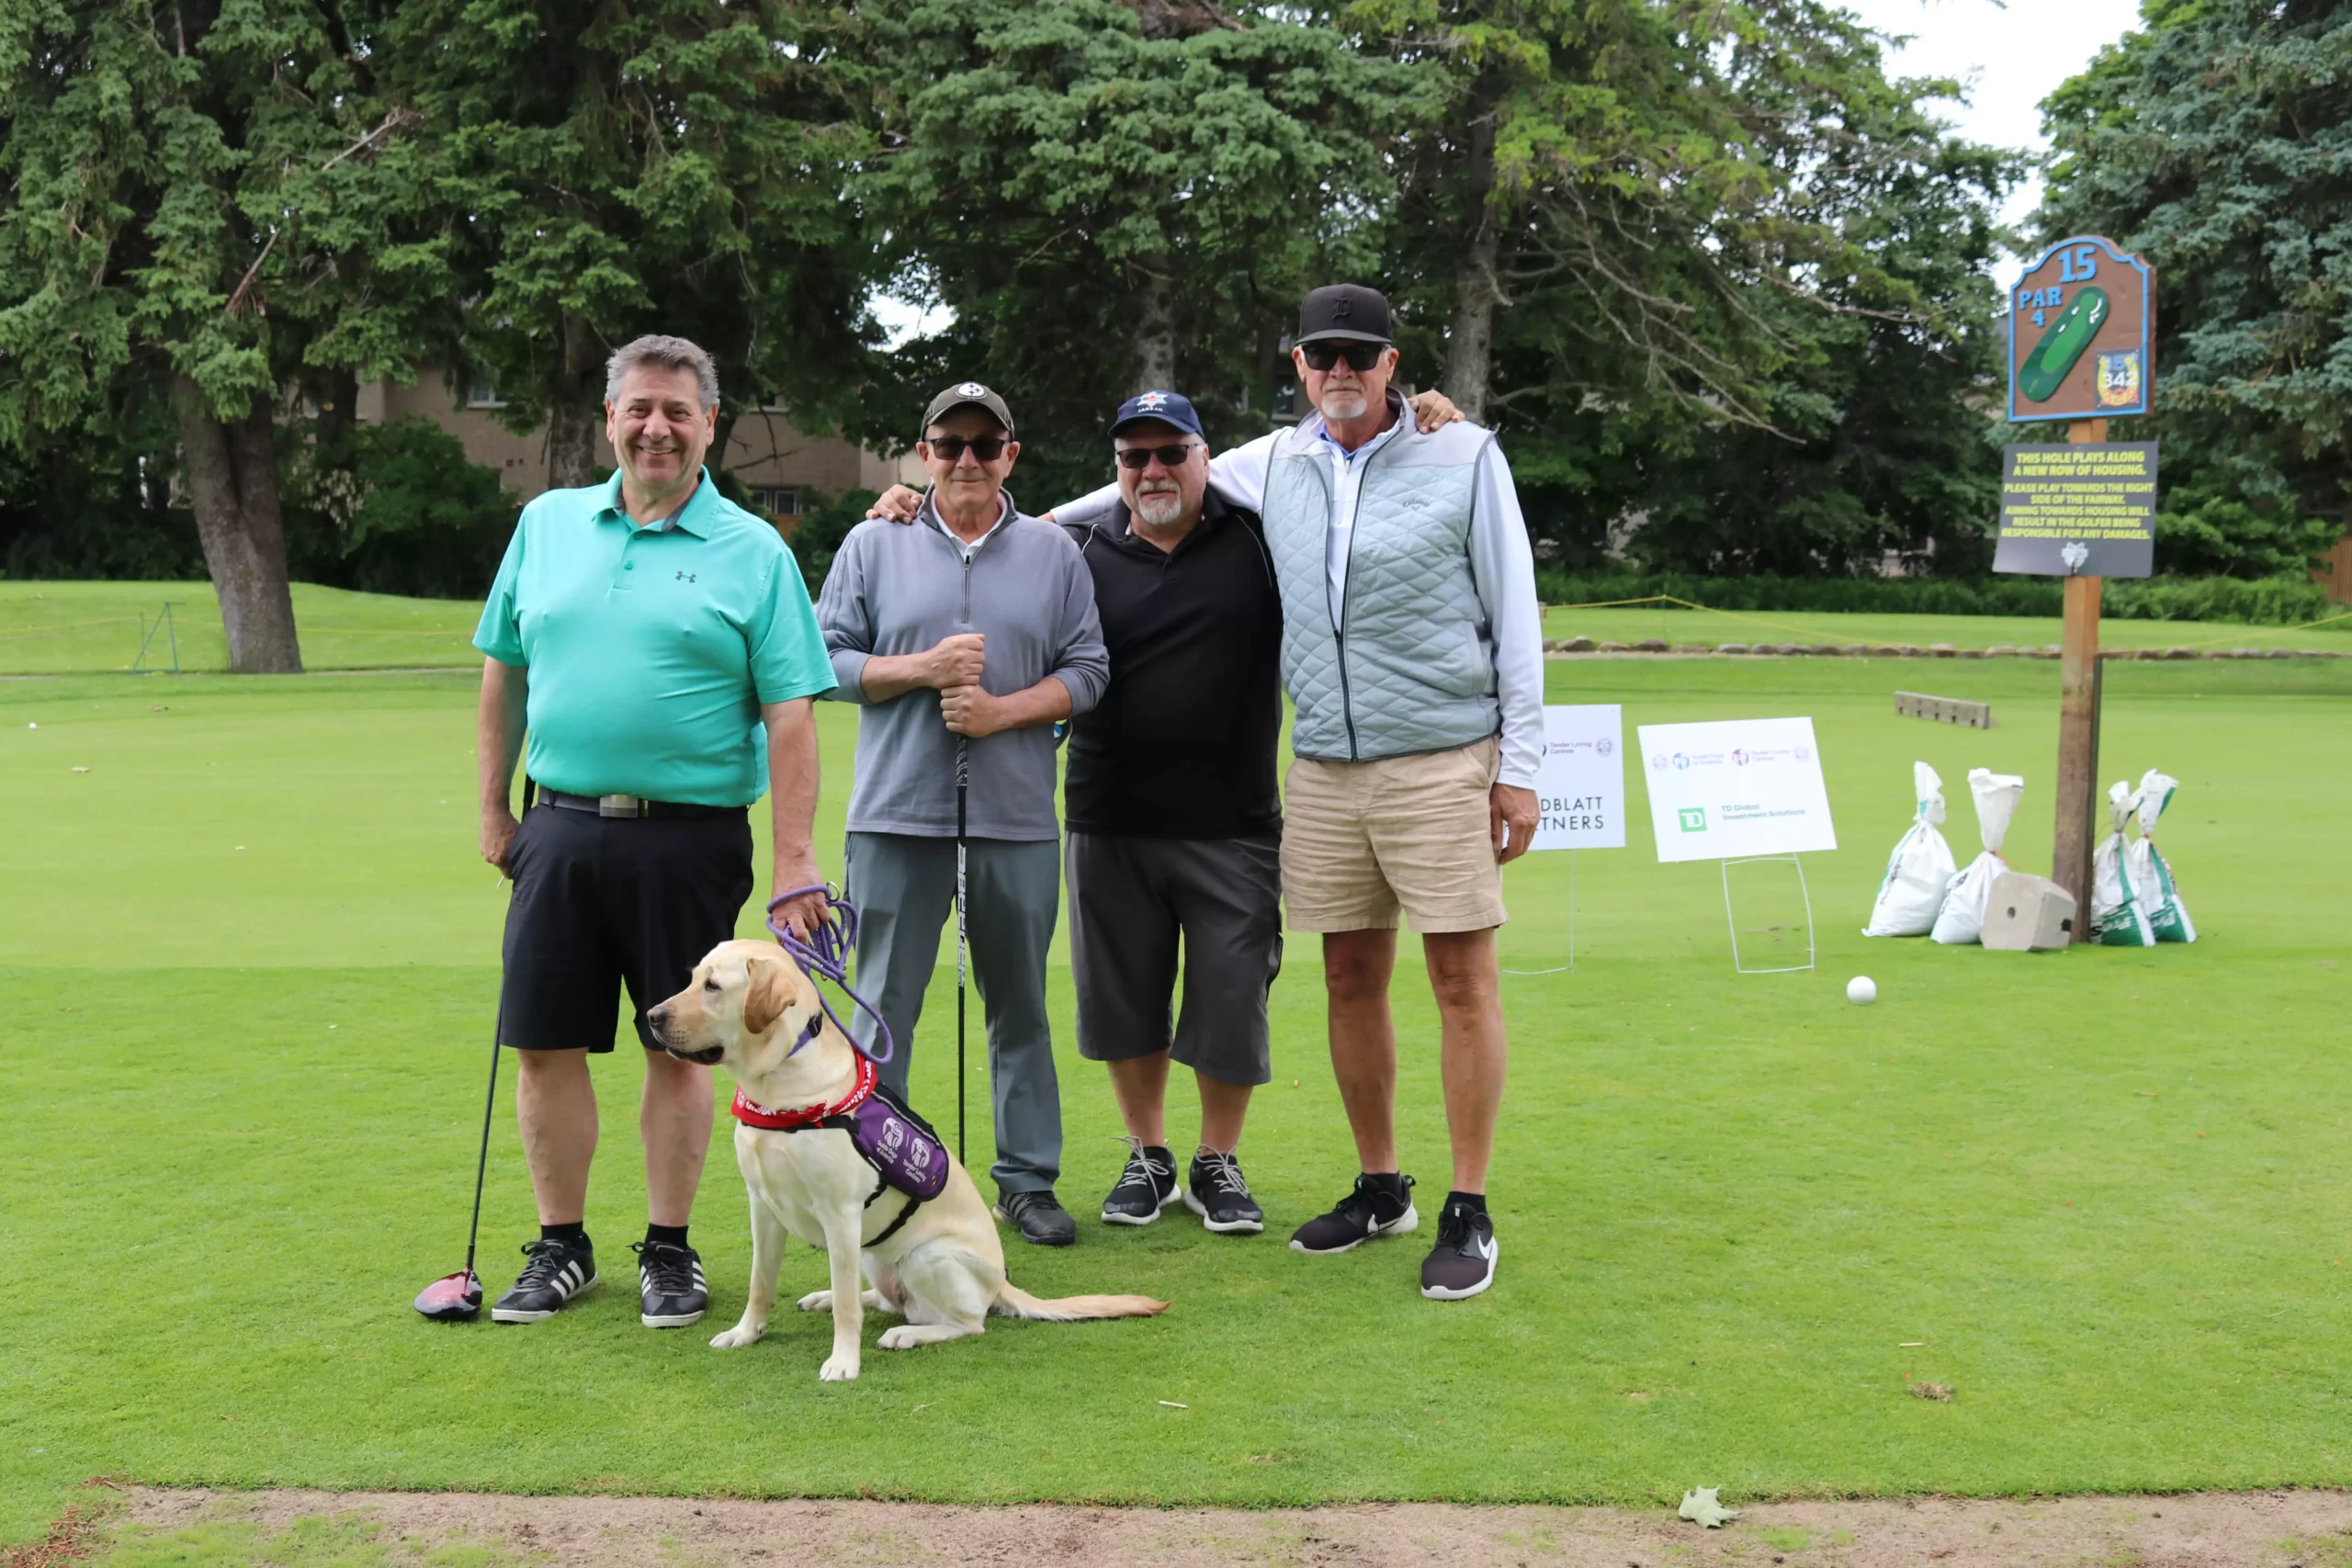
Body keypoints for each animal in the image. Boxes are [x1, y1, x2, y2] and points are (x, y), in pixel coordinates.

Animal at [647, 939, 1167, 1381]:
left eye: (713, 987)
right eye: (692, 979)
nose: (651, 1016)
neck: (779, 1088)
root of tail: (1001, 1284)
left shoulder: (840, 1215)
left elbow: (847, 1311)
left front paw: (844, 1361)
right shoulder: (763, 1205)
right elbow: (761, 1283)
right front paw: (745, 1333)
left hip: (925, 1255)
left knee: (964, 1322)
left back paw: (907, 1334)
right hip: (872, 1252)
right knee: (882, 1298)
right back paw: (827, 1299)